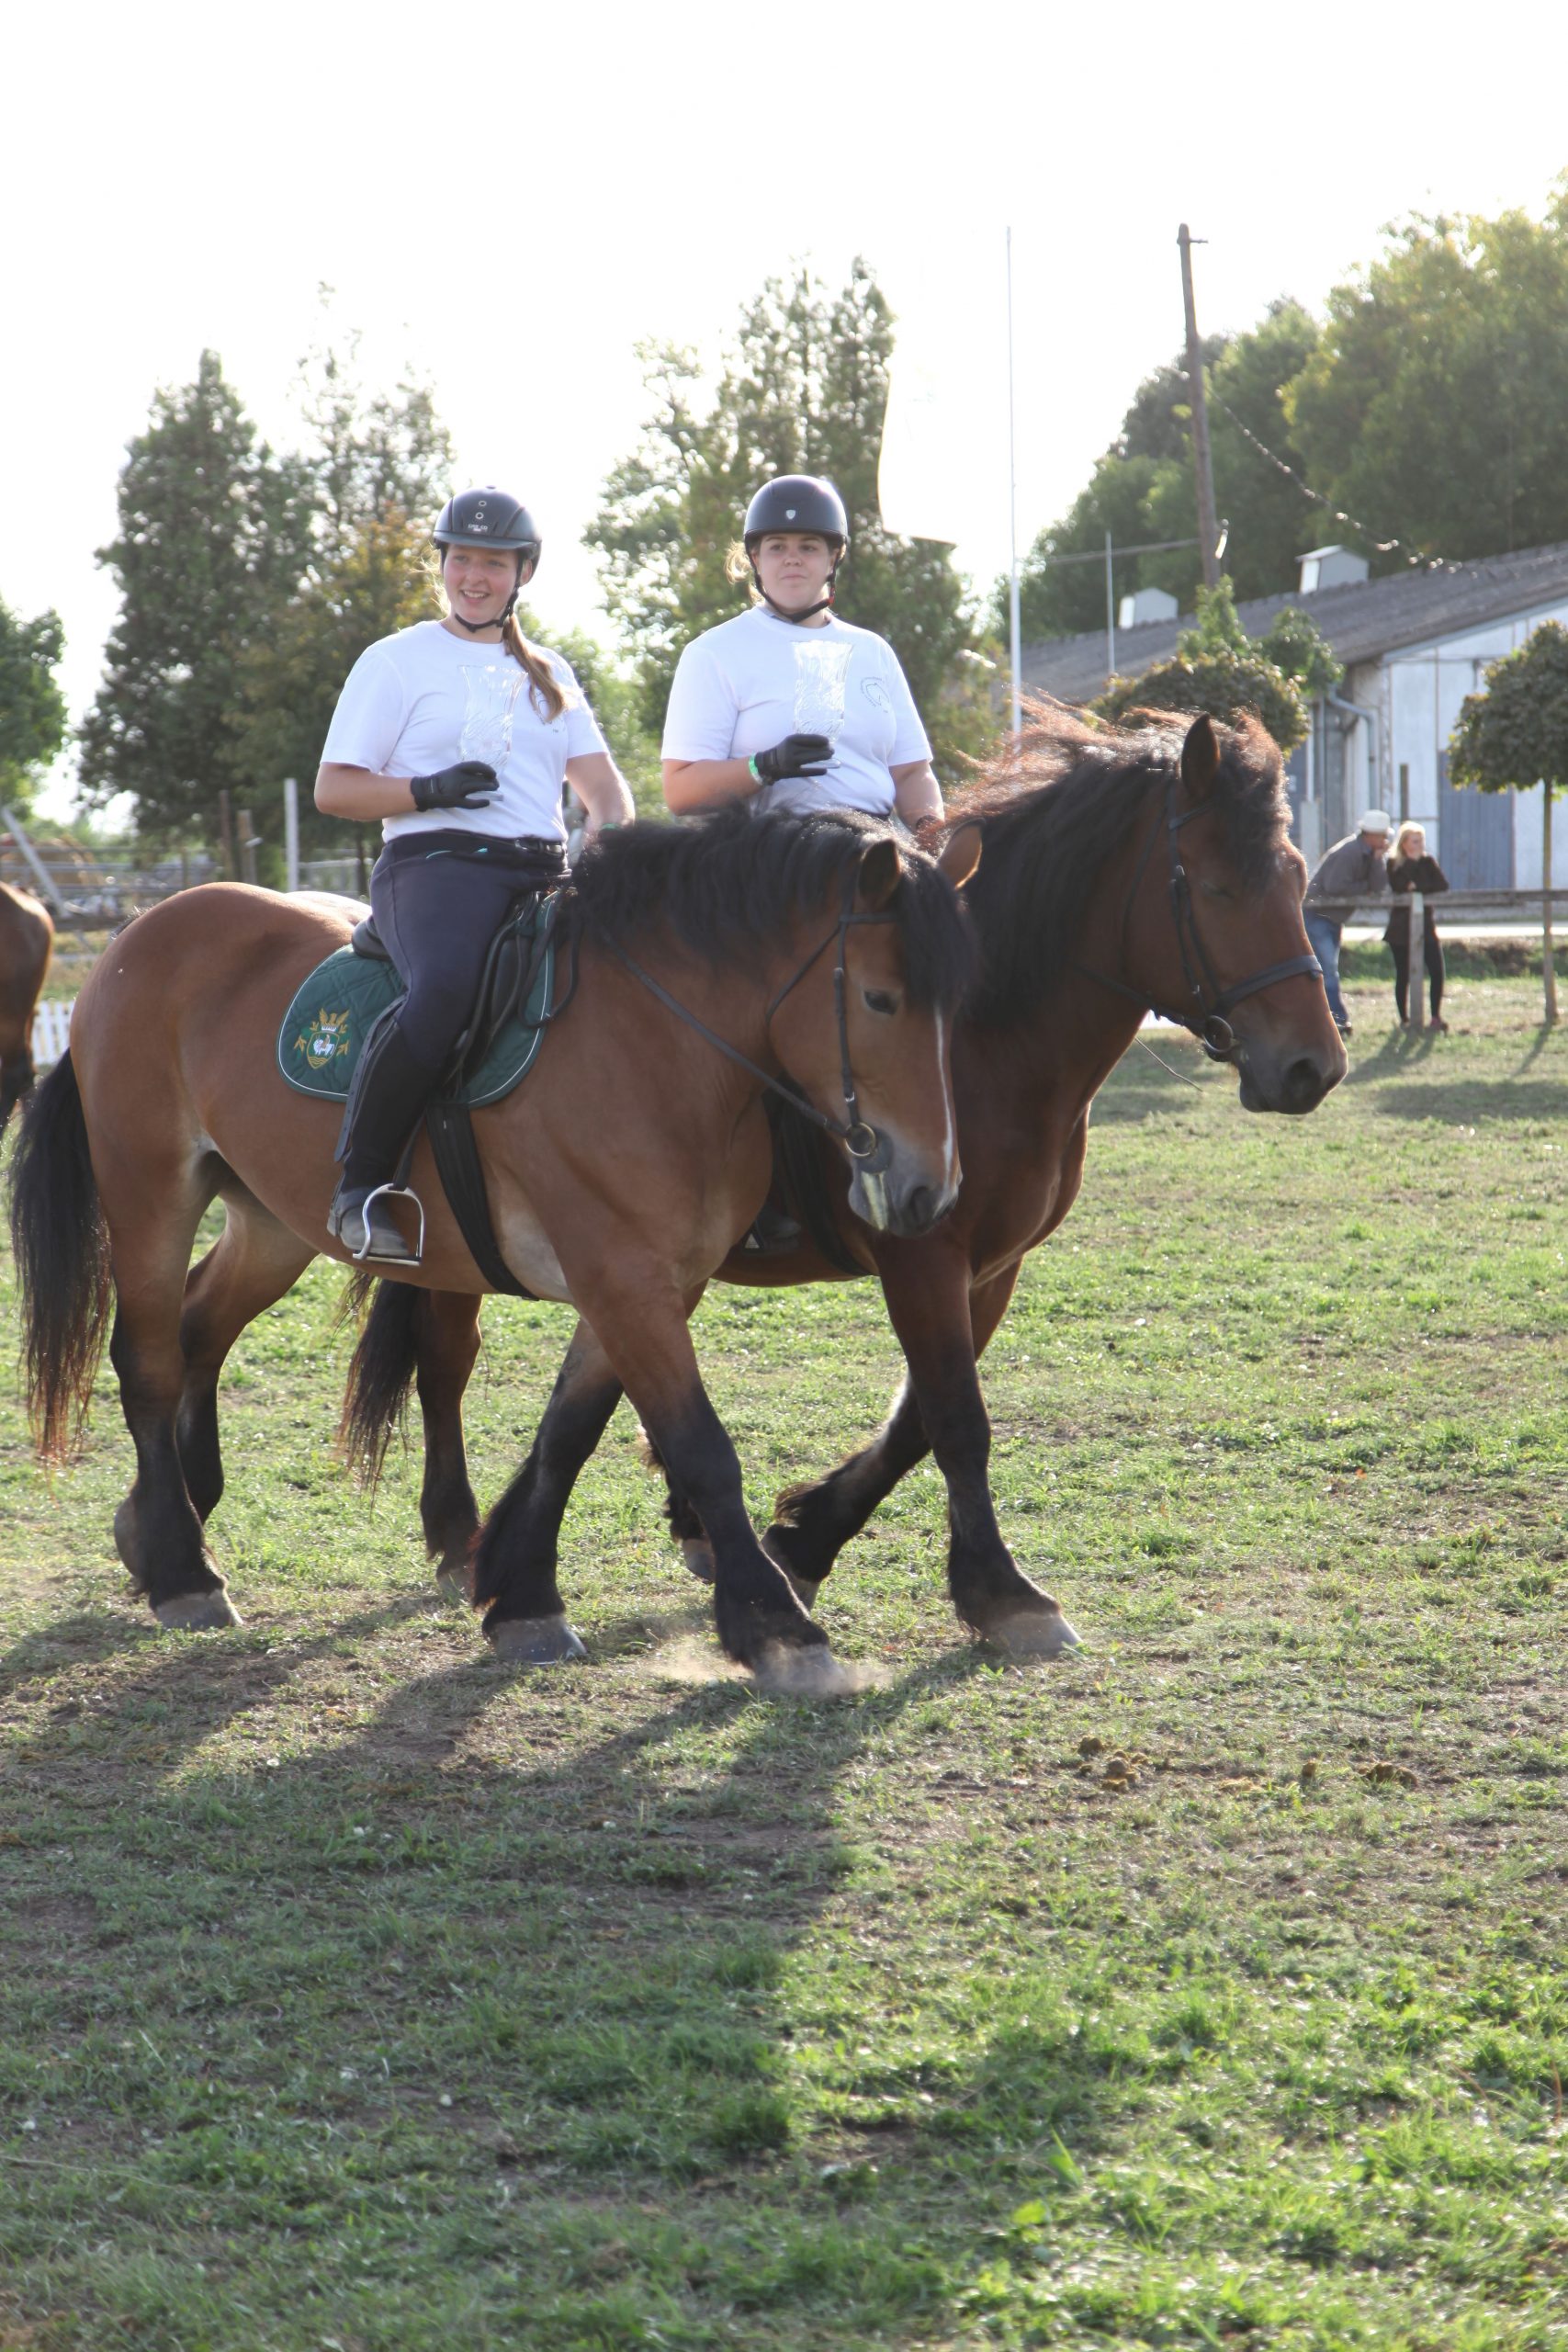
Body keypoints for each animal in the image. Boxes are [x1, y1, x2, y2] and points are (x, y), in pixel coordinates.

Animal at [6, 808, 973, 1693]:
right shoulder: (623, 1281)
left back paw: (160, 1517)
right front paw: (776, 1626)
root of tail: (145, 930)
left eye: (953, 1007)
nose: (930, 1191)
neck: (653, 1046)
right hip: (149, 1195)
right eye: (880, 998)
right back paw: (182, 1569)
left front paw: (522, 1597)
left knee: (201, 1326)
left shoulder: (657, 1283)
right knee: (148, 1359)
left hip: (272, 1221)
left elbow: (572, 1428)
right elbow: (700, 1445)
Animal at [350, 706, 1344, 1665]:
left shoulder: (991, 1266)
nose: (1314, 1068)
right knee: (446, 1361)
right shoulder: (921, 1257)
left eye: (1298, 878)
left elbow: (918, 1420)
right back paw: (459, 1532)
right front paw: (998, 1593)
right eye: (1216, 889)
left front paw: (803, 1540)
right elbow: (953, 1415)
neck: (987, 1049)